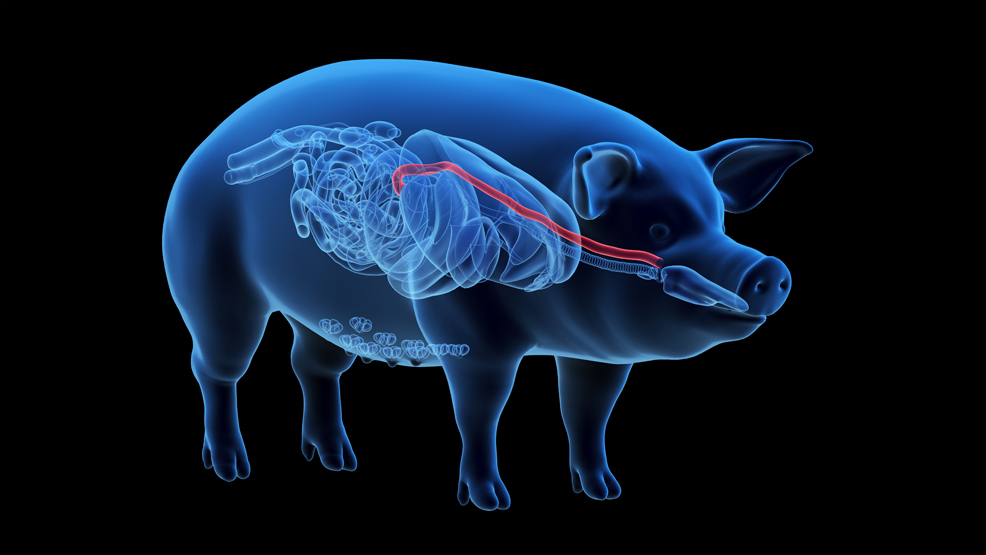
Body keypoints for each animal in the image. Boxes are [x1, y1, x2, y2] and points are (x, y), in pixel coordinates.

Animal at [162, 59, 811, 511]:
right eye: (659, 227)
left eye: (720, 221)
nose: (767, 268)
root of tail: (202, 150)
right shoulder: (469, 333)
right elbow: (482, 408)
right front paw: (491, 501)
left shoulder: (600, 355)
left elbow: (587, 410)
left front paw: (604, 492)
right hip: (212, 284)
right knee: (216, 367)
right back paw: (231, 469)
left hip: (320, 311)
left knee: (310, 364)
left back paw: (338, 462)